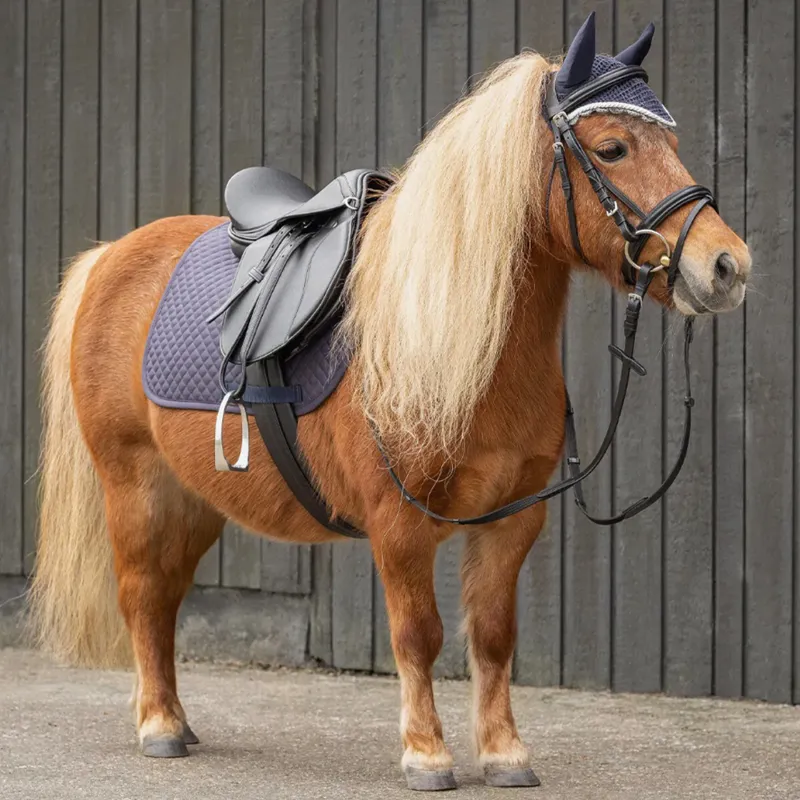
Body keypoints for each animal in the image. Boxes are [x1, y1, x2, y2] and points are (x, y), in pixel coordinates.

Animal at [29, 18, 750, 792]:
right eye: (613, 146)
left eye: (673, 144)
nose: (727, 266)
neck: (448, 340)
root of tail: (108, 256)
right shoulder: (398, 524)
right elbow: (418, 634)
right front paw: (427, 755)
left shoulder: (514, 519)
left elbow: (492, 636)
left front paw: (505, 754)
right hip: (136, 486)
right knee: (140, 594)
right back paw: (159, 726)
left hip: (193, 501)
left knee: (163, 600)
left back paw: (178, 721)